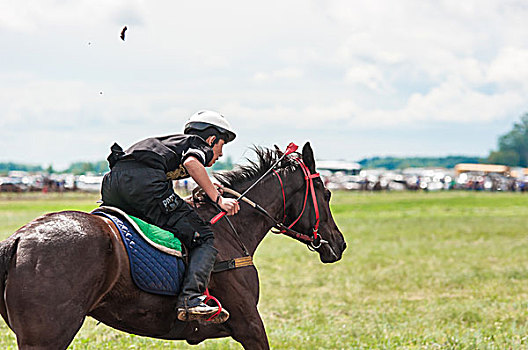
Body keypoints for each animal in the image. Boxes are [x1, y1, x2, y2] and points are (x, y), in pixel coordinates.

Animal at [0, 142, 346, 348]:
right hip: (47, 336)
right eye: (327, 194)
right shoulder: (249, 322)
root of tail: (18, 239)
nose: (340, 244)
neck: (232, 229)